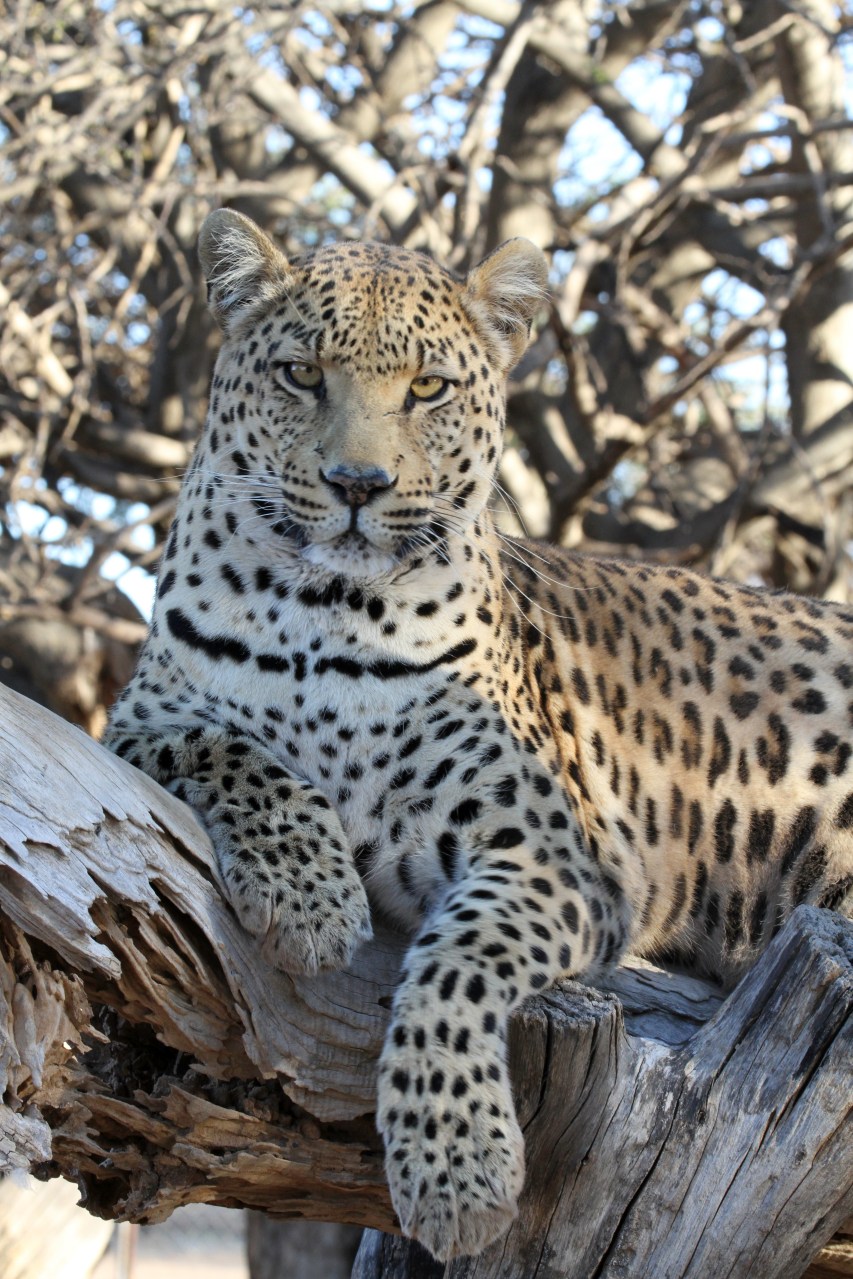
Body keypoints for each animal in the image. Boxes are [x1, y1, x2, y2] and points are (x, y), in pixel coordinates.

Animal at [105, 208, 853, 1262]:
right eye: (301, 374)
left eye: (427, 387)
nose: (356, 483)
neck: (327, 610)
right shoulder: (140, 719)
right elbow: (235, 752)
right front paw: (308, 896)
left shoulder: (550, 851)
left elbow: (453, 967)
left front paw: (457, 1169)